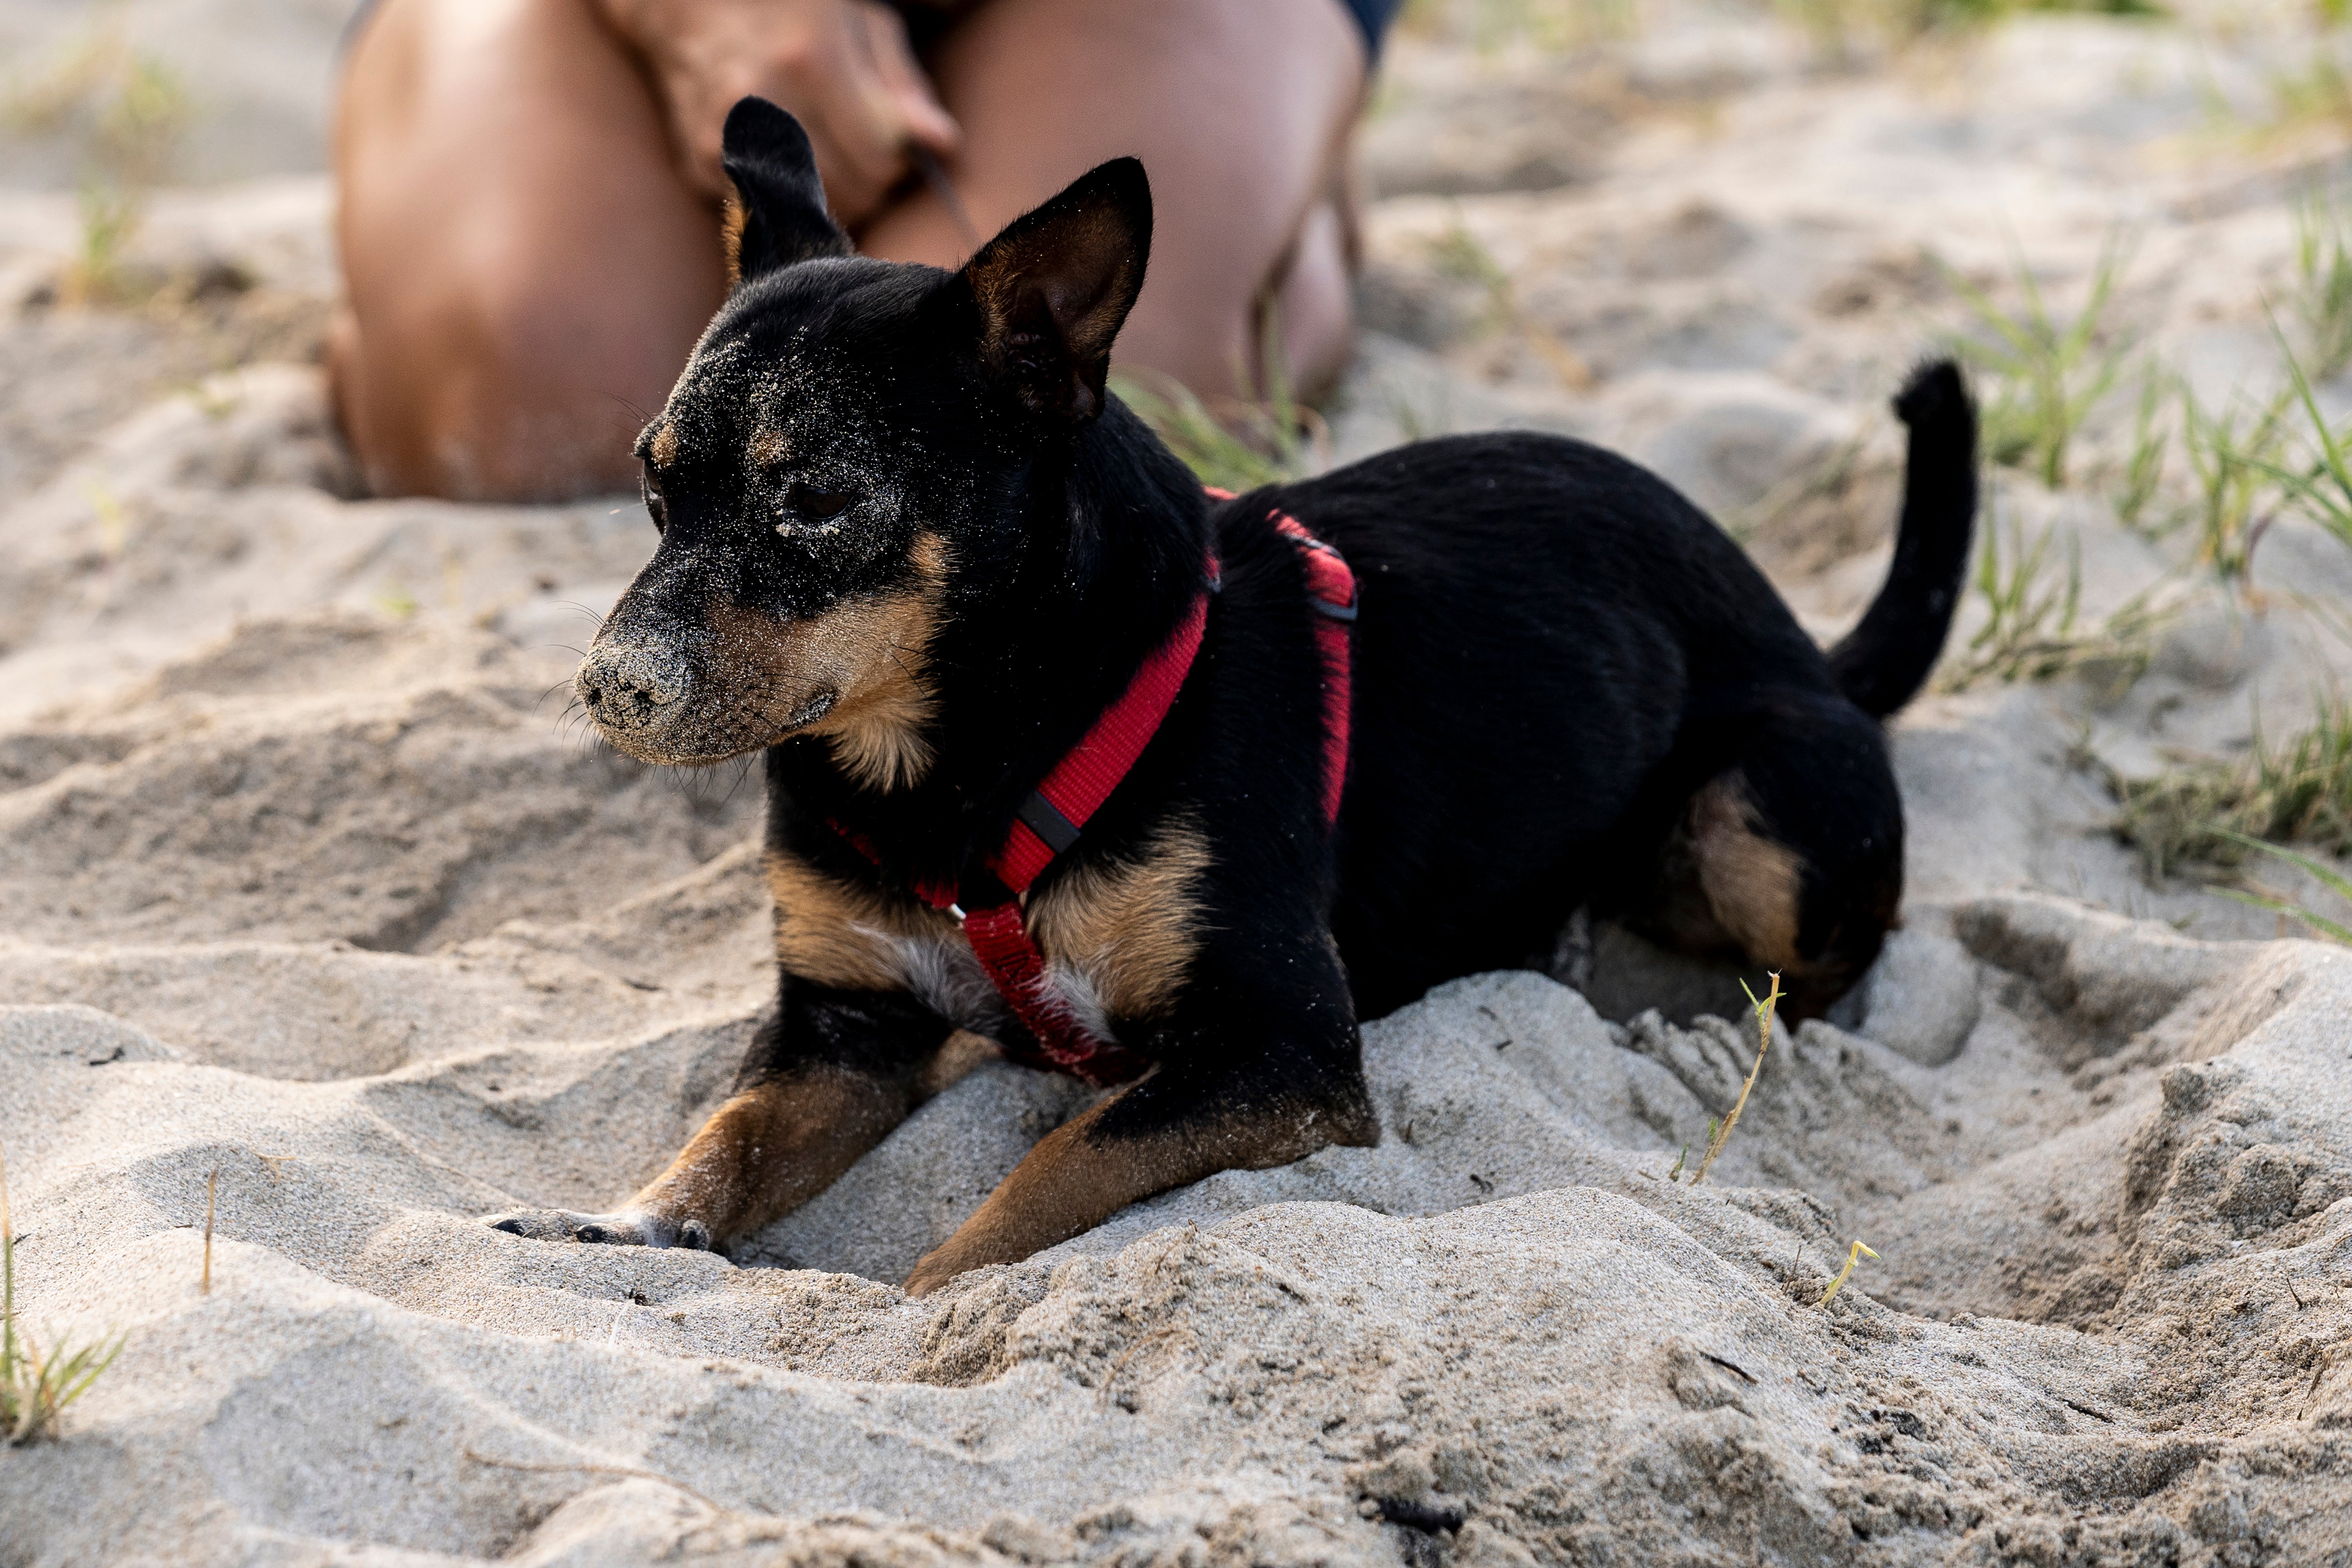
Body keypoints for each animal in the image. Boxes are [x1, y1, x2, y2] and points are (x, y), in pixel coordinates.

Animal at [487, 101, 1976, 1297]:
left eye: (818, 499)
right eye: (652, 488)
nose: (611, 687)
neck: (946, 767)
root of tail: (1804, 642)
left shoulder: (1280, 1043)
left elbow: (1052, 1168)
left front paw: (933, 1294)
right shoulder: (837, 1029)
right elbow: (723, 1137)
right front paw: (627, 1221)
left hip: (1768, 812)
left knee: (1831, 968)